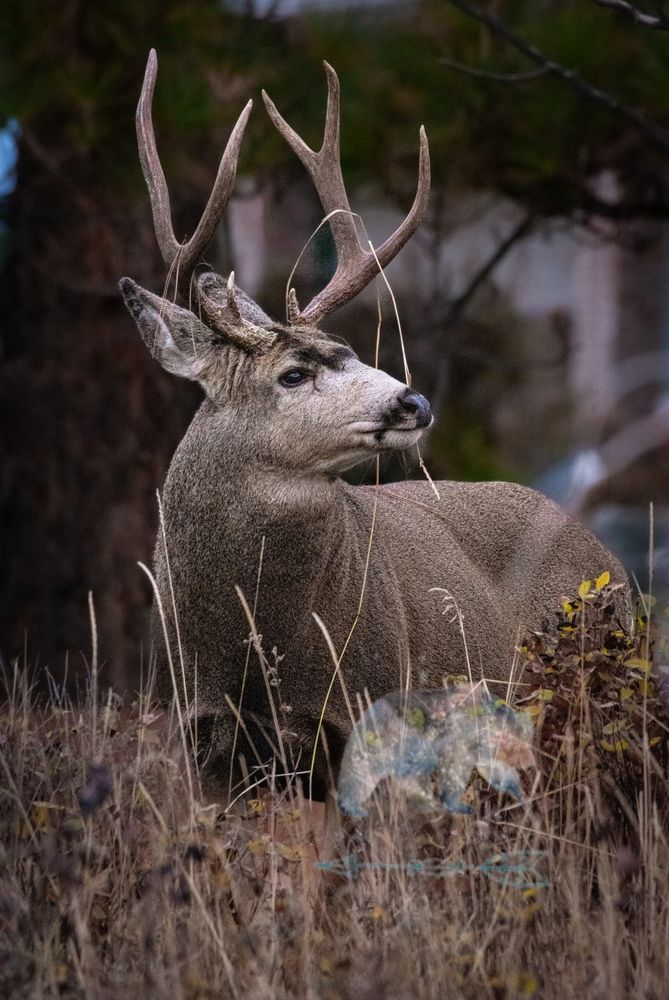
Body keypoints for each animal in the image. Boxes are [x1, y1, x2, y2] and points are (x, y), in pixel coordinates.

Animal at [120, 51, 630, 809]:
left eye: (351, 349)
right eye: (293, 374)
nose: (413, 400)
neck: (254, 650)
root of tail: (609, 558)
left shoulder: (376, 710)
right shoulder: (204, 744)